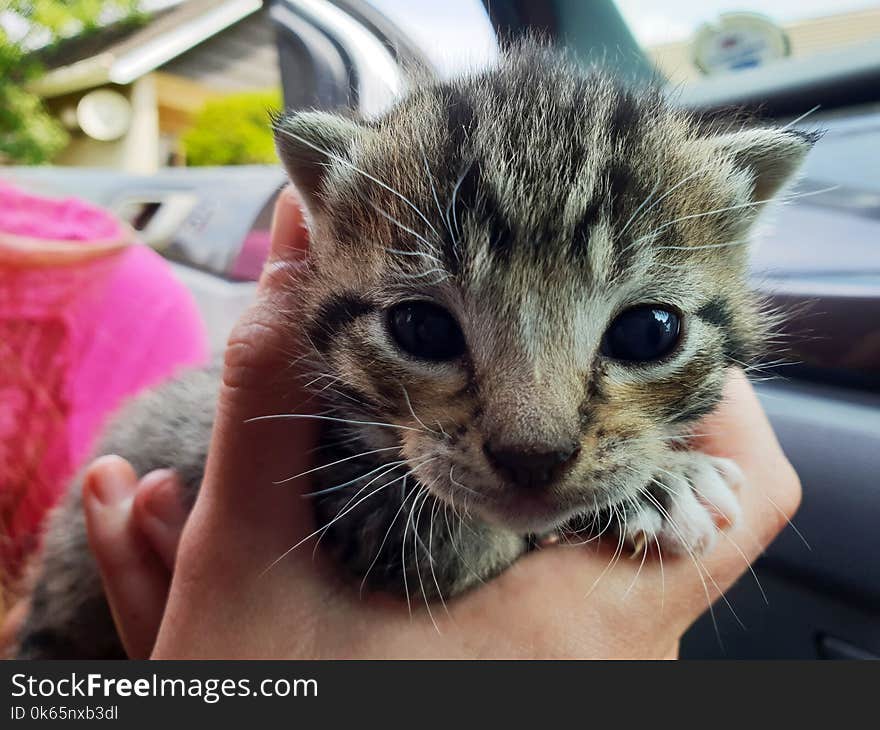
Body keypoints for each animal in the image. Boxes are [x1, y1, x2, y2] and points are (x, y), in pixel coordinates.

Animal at [10, 47, 816, 660]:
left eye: (649, 332)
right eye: (422, 331)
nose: (533, 457)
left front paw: (658, 477)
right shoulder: (353, 513)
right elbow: (452, 541)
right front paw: (662, 487)